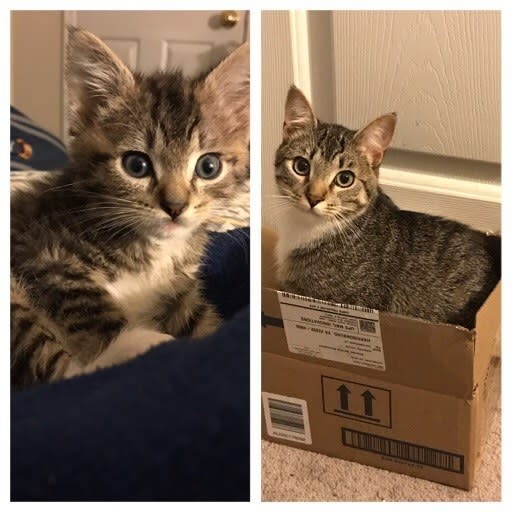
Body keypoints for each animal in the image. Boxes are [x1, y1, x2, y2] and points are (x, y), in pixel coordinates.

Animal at [11, 28, 250, 388]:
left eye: (208, 167)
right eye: (136, 165)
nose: (175, 207)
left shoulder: (178, 292)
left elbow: (206, 328)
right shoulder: (42, 255)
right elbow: (92, 313)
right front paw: (148, 343)